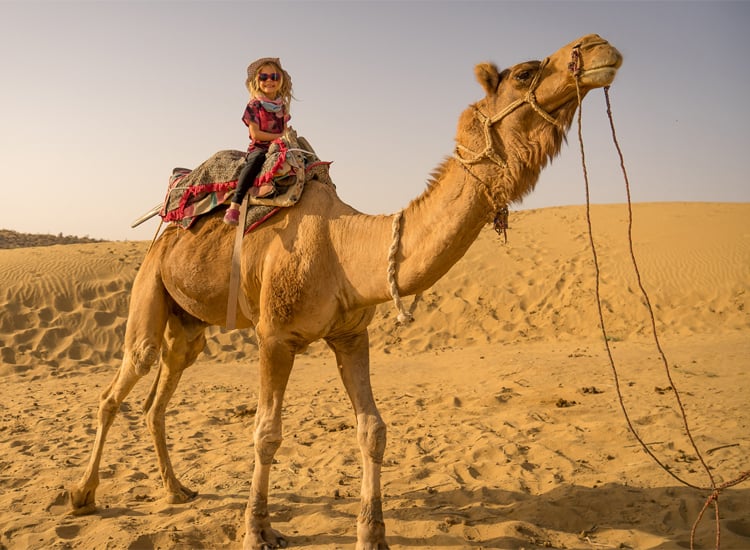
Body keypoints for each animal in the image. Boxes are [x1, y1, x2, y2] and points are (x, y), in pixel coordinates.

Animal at [69, 34, 622, 549]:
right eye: (526, 72)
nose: (598, 46)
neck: (347, 249)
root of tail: (166, 228)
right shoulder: (275, 337)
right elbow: (266, 433)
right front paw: (256, 530)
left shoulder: (352, 336)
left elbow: (373, 429)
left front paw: (371, 533)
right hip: (149, 285)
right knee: (122, 382)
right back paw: (82, 494)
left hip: (188, 324)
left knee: (161, 390)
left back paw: (176, 490)